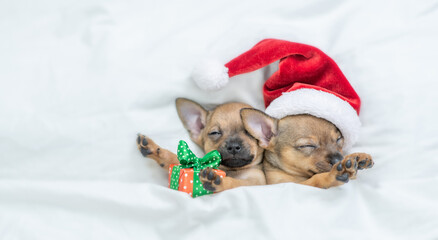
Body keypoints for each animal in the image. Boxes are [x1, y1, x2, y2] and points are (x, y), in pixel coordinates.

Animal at [137, 97, 266, 193]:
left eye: (250, 132)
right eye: (215, 133)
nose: (233, 146)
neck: (231, 170)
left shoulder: (254, 182)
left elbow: (235, 183)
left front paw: (219, 182)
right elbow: (177, 159)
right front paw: (155, 150)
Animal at [240, 109, 372, 189]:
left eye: (339, 139)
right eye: (308, 146)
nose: (337, 160)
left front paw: (357, 157)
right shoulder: (291, 185)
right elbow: (315, 180)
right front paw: (331, 176)